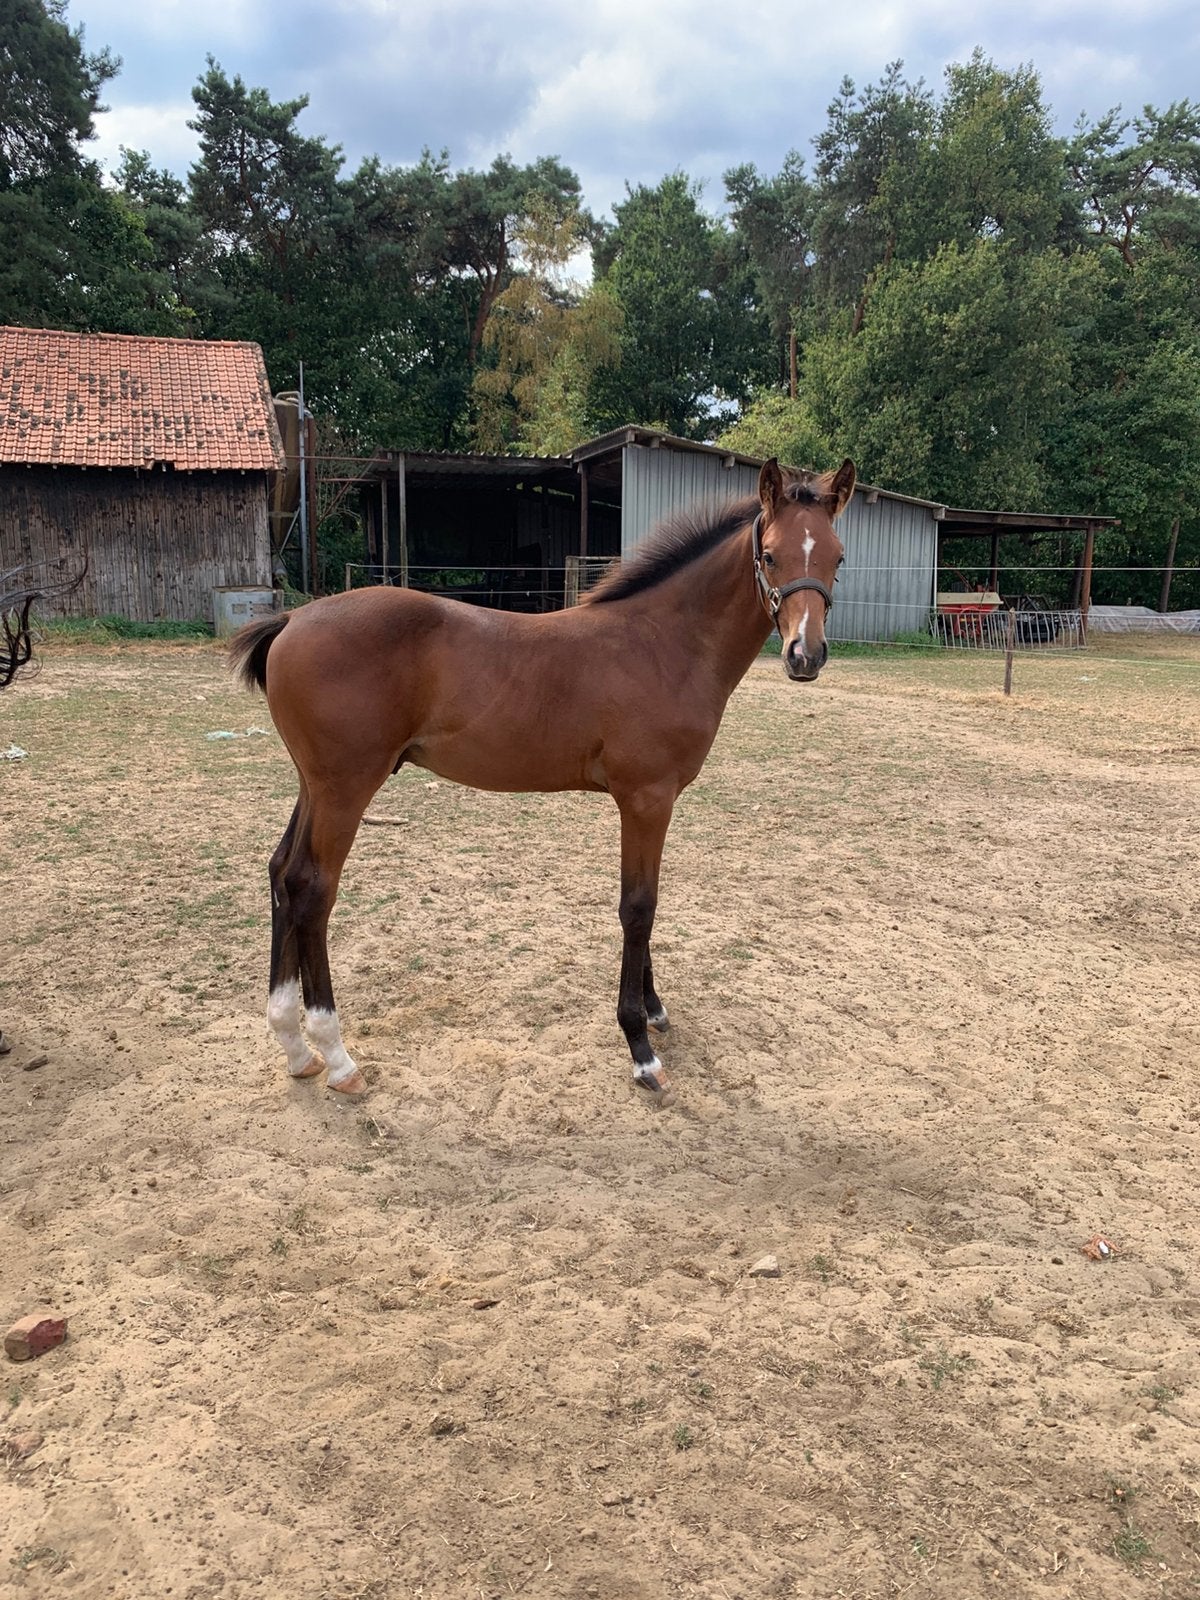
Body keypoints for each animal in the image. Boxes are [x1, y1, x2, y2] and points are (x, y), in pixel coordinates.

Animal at [230, 457, 854, 1100]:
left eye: (837, 557)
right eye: (772, 555)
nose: (805, 655)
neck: (664, 644)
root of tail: (292, 619)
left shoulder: (655, 801)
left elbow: (649, 902)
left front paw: (654, 1008)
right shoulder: (646, 799)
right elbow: (639, 907)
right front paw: (640, 1046)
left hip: (314, 785)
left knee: (282, 874)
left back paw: (294, 1045)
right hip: (346, 789)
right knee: (313, 890)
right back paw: (336, 1054)